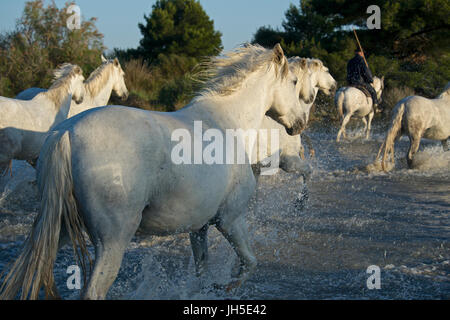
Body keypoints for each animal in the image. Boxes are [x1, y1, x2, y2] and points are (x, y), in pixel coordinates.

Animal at [0, 43, 308, 300]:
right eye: (294, 82)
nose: (300, 124)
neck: (226, 124)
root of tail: (66, 133)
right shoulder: (230, 219)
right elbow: (249, 264)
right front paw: (226, 287)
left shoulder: (199, 227)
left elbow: (202, 271)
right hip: (112, 240)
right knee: (93, 291)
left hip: (60, 227)